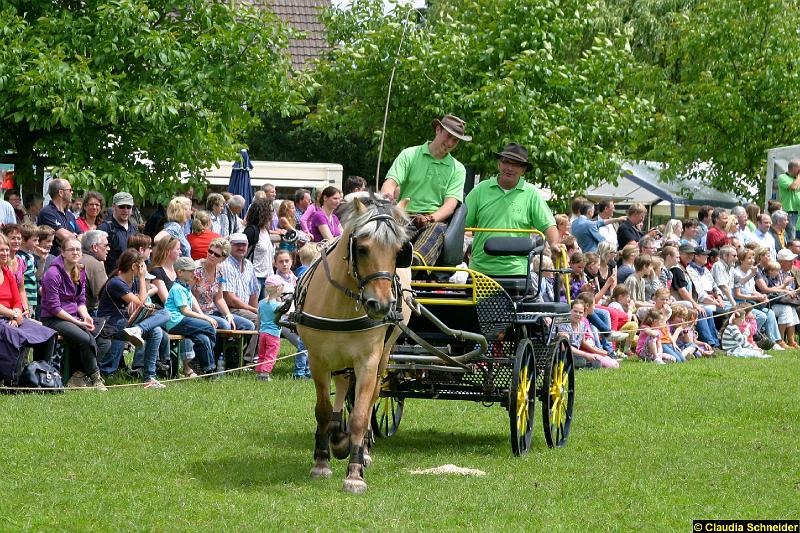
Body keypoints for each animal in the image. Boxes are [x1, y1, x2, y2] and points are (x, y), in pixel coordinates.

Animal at [294, 193, 412, 492]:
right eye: (362, 248)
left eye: (399, 252)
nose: (380, 305)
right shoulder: (318, 360)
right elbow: (323, 411)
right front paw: (322, 461)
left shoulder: (368, 361)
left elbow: (360, 414)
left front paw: (355, 473)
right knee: (343, 384)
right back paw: (337, 436)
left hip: (384, 354)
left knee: (372, 397)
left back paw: (364, 448)